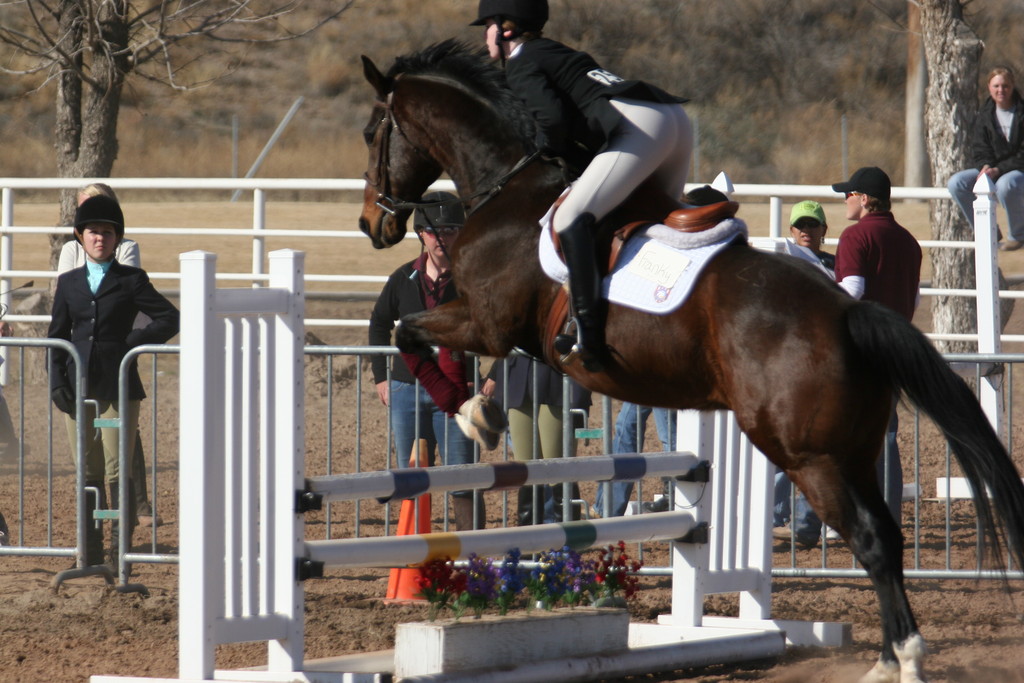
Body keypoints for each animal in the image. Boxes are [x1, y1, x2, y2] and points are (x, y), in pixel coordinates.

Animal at [358, 40, 1024, 679]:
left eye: (371, 132)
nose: (370, 225)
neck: (509, 185)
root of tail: (845, 313)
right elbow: (410, 333)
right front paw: (477, 411)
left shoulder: (488, 324)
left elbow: (407, 332)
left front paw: (474, 413)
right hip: (851, 448)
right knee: (885, 534)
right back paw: (887, 658)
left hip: (809, 457)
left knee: (870, 541)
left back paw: (904, 659)